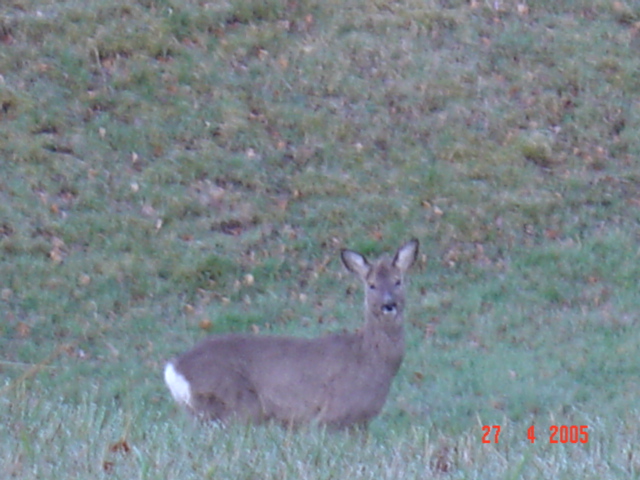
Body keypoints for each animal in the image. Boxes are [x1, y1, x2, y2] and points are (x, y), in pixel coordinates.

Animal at [162, 238, 418, 430]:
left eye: (398, 281)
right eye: (371, 284)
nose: (388, 305)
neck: (369, 358)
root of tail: (173, 369)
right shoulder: (332, 414)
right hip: (232, 403)